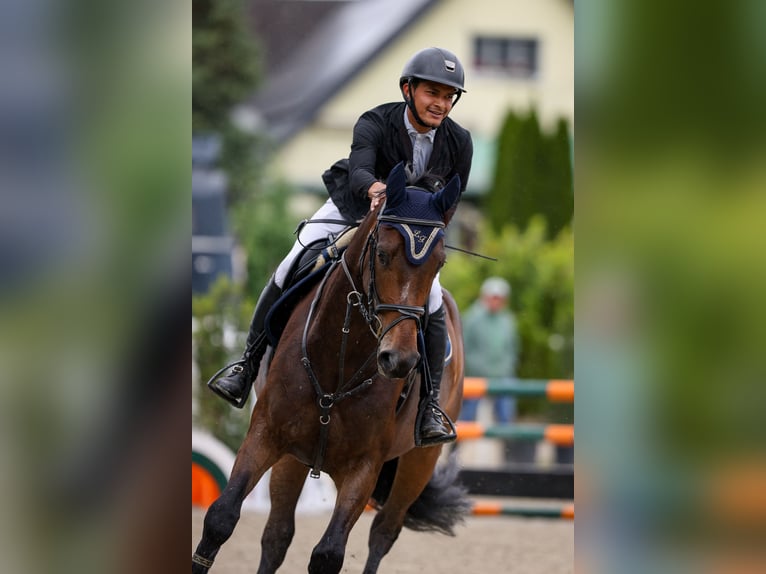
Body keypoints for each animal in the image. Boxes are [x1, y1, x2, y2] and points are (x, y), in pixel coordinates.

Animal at [194, 163, 468, 574]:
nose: (400, 360)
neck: (338, 361)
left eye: (439, 263)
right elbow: (220, 518)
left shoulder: (364, 467)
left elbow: (328, 554)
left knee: (383, 533)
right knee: (277, 534)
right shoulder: (266, 434)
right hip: (292, 457)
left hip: (418, 462)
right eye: (382, 254)